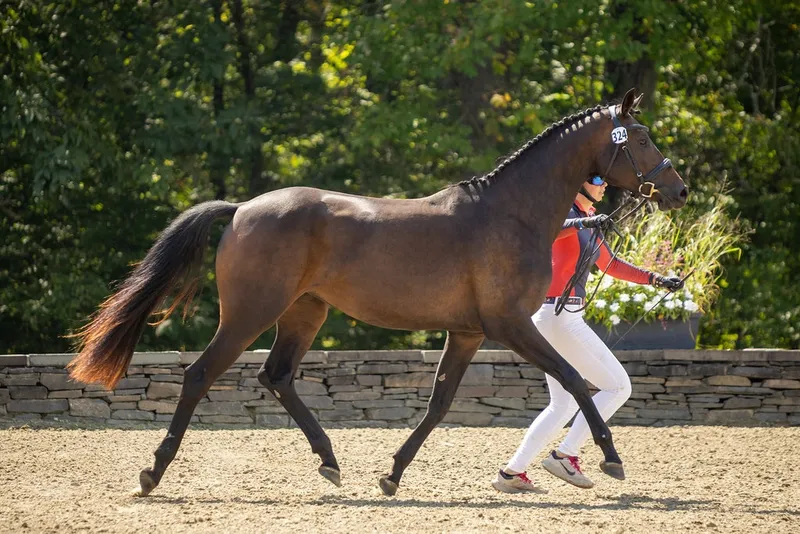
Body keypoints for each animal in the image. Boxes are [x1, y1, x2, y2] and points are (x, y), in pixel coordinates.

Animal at [67, 88, 687, 497]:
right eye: (640, 137)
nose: (679, 190)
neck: (511, 214)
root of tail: (242, 209)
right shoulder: (511, 325)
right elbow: (577, 383)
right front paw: (610, 460)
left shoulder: (467, 332)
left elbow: (439, 403)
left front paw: (391, 475)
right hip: (249, 314)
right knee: (200, 375)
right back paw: (152, 474)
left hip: (304, 314)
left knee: (277, 376)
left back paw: (330, 461)